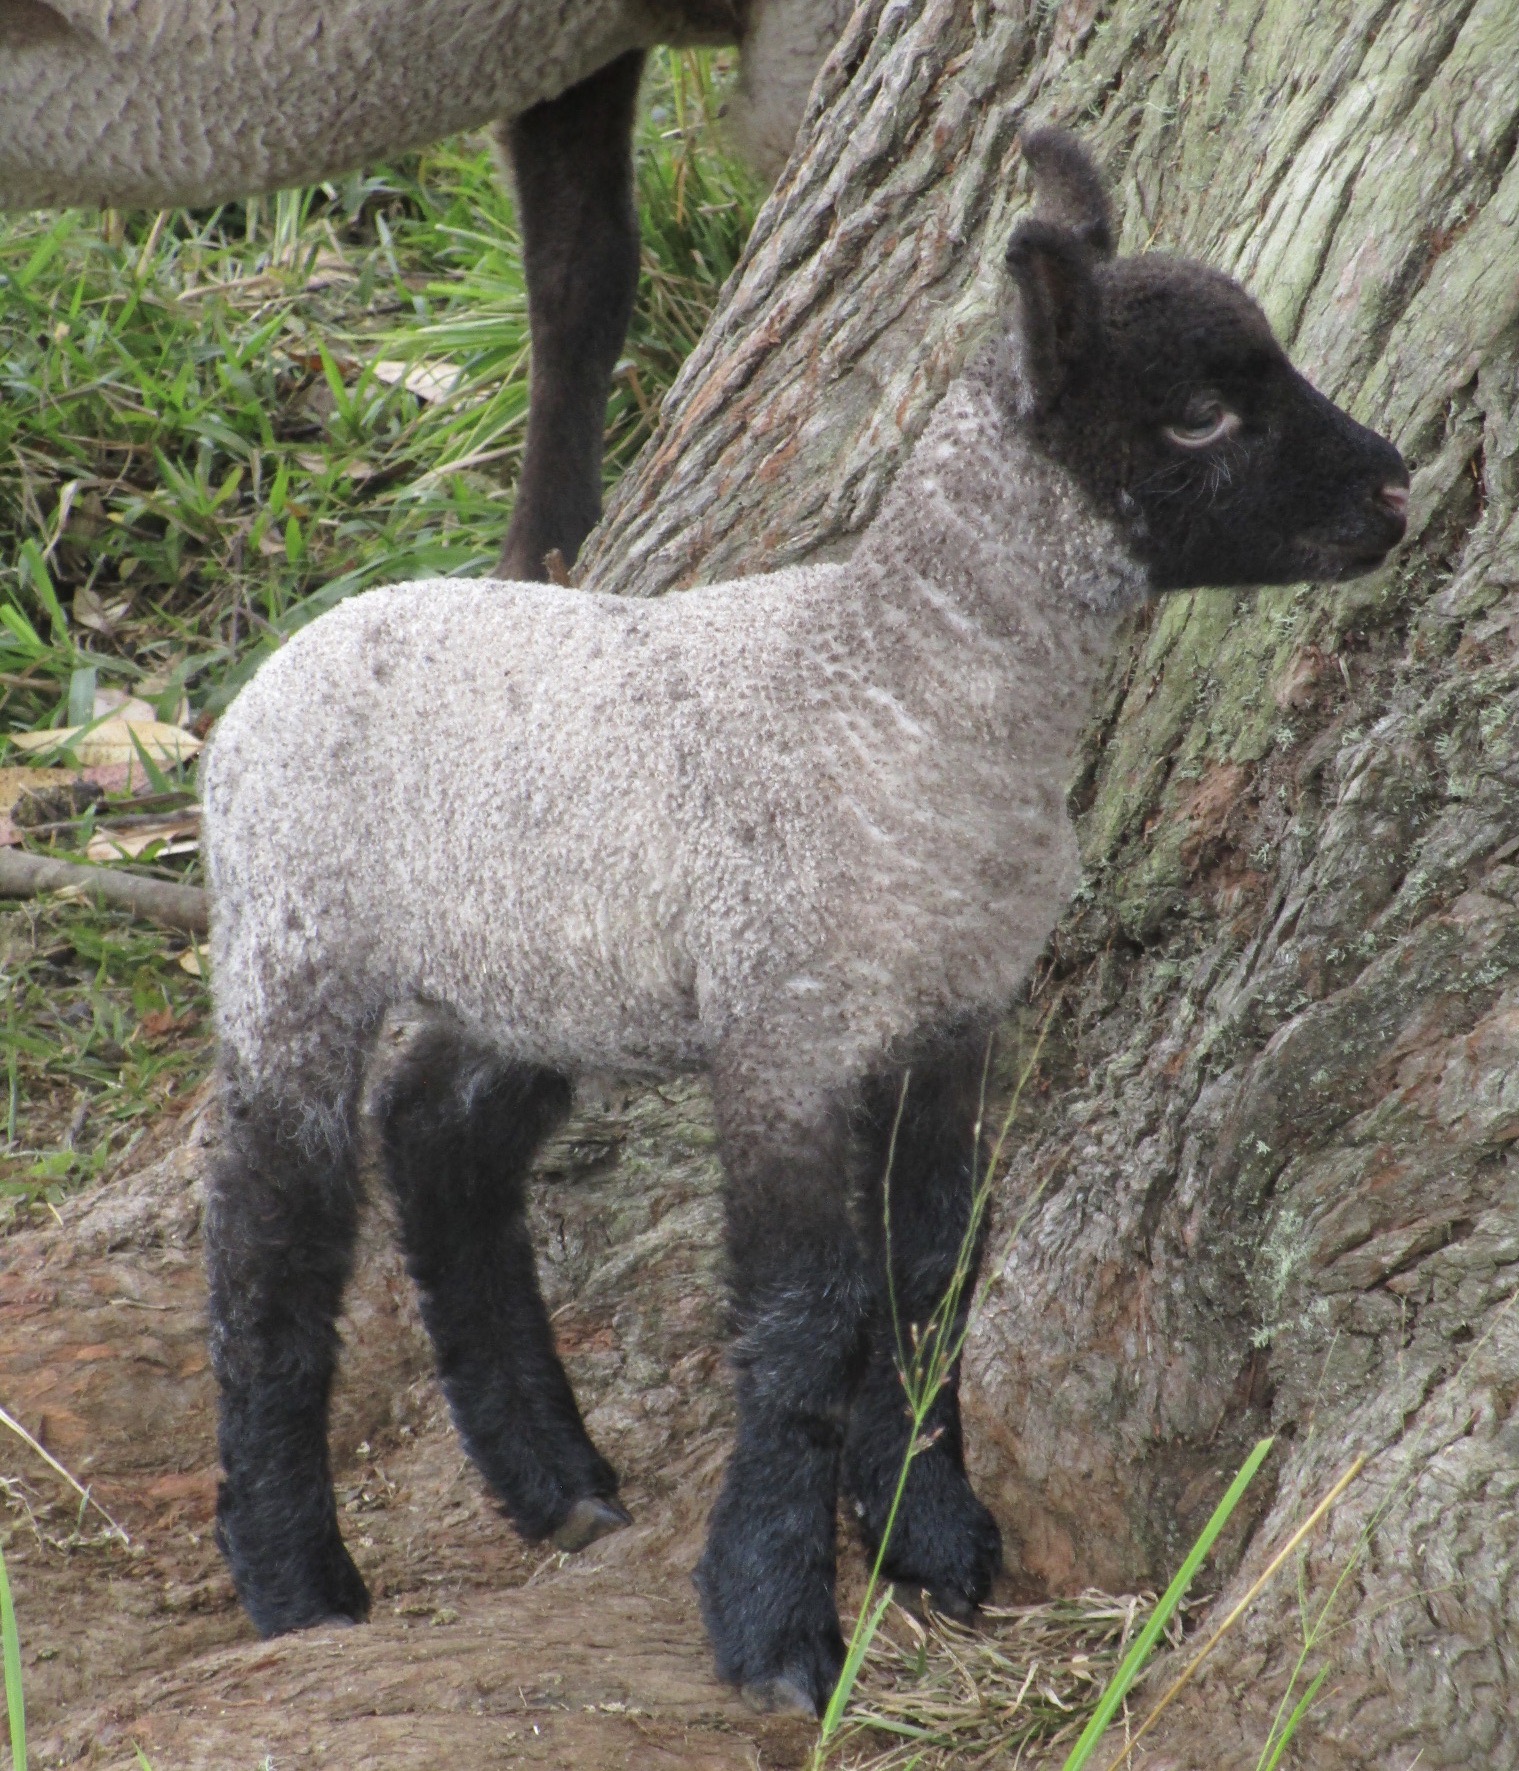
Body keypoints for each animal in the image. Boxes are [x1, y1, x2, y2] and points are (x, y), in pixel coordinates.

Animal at [199, 129, 1410, 1715]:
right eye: (1201, 415)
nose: (1394, 492)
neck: (901, 681)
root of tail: (297, 648)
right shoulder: (787, 1025)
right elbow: (806, 1317)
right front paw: (777, 1624)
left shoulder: (947, 1012)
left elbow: (930, 1272)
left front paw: (930, 1535)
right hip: (291, 945)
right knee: (272, 1245)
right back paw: (296, 1578)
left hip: (541, 962)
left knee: (440, 1134)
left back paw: (555, 1481)